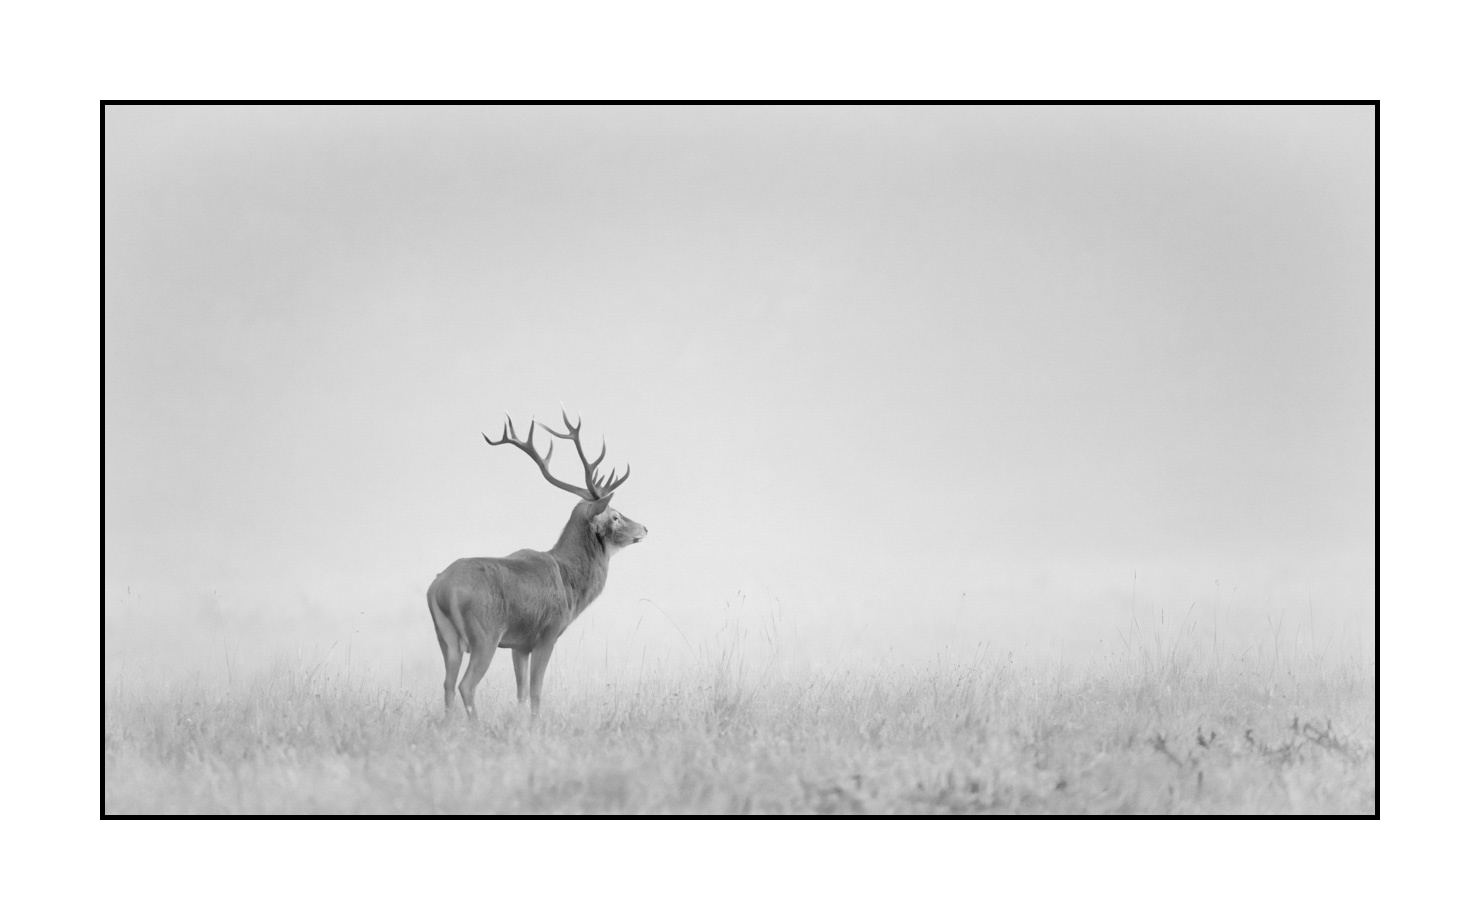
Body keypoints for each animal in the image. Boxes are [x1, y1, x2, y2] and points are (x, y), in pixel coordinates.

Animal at [427, 411, 647, 719]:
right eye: (615, 515)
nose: (645, 528)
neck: (570, 583)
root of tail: (439, 588)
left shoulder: (519, 645)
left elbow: (520, 692)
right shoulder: (548, 633)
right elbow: (536, 691)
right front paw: (535, 724)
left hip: (446, 638)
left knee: (447, 684)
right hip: (485, 633)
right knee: (465, 685)